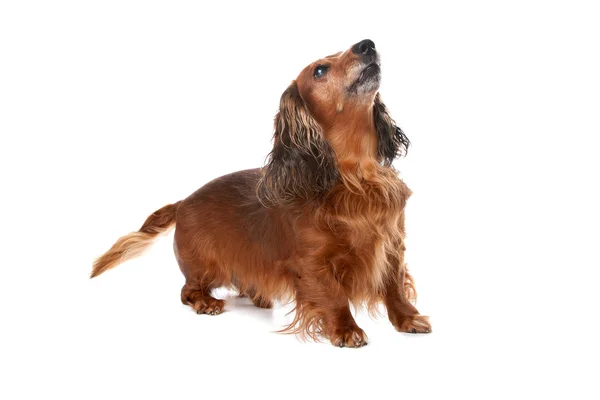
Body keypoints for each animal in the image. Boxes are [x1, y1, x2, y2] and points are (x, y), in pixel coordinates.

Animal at [92, 39, 432, 346]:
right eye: (320, 70)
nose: (367, 44)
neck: (355, 176)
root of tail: (182, 202)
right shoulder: (314, 261)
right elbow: (334, 295)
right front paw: (345, 330)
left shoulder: (392, 245)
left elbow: (395, 288)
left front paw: (408, 319)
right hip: (207, 268)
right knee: (187, 291)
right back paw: (207, 303)